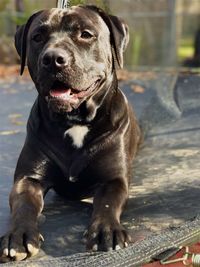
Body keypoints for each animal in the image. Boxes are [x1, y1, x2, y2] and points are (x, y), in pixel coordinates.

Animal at [0, 5, 141, 262]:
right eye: (38, 37)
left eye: (85, 34)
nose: (53, 59)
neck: (74, 120)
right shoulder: (28, 178)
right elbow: (24, 205)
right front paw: (19, 235)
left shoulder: (113, 179)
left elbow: (108, 203)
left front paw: (106, 230)